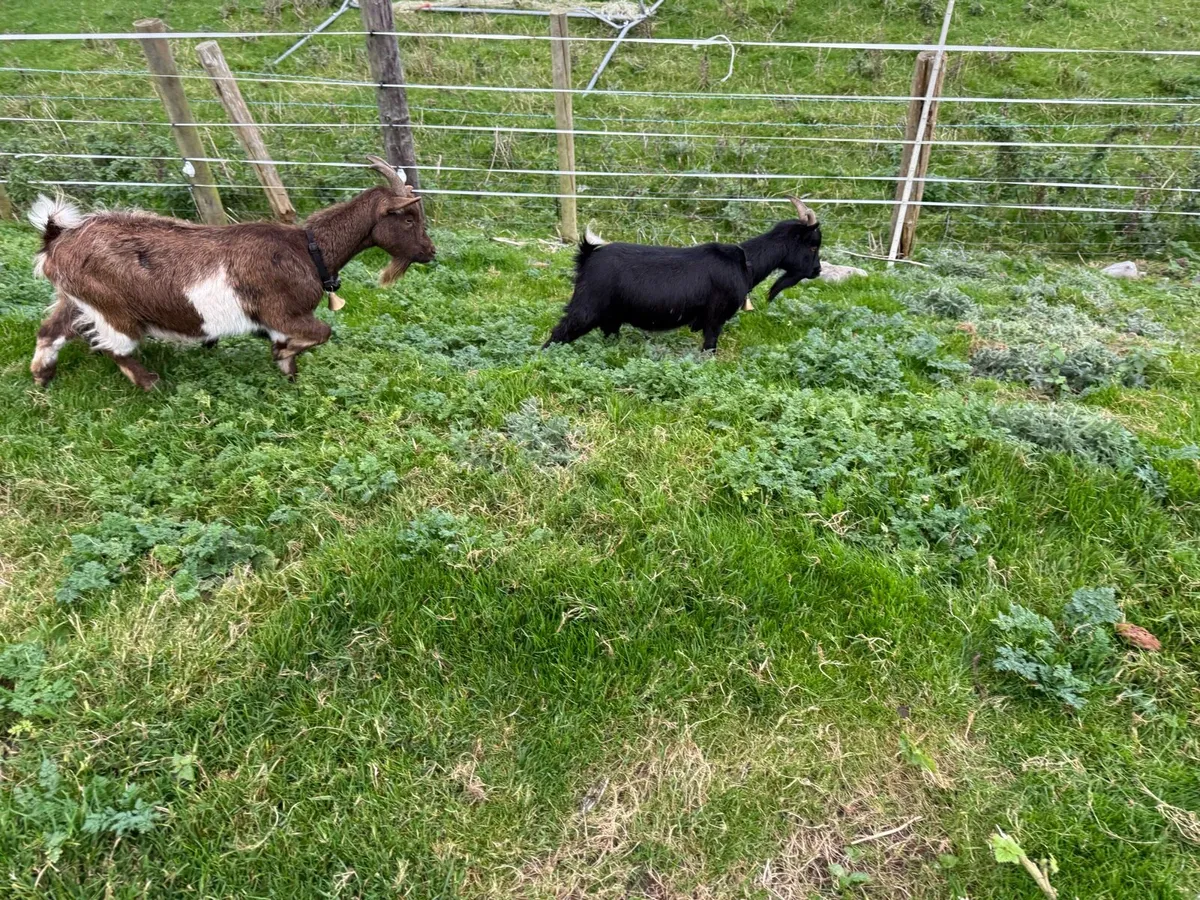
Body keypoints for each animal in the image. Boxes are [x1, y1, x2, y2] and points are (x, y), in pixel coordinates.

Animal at [29, 156, 435, 390]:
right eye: (409, 217)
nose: (430, 252)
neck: (307, 249)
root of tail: (57, 240)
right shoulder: (283, 312)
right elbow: (322, 332)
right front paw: (282, 354)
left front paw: (287, 370)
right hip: (114, 309)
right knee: (113, 346)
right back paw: (151, 384)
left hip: (76, 297)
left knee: (51, 330)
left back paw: (42, 377)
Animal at [543, 198, 821, 353]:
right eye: (812, 245)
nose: (817, 271)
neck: (746, 262)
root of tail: (588, 255)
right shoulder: (715, 318)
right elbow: (709, 347)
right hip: (587, 306)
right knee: (559, 333)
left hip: (611, 315)